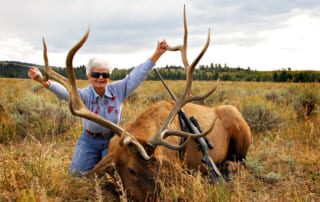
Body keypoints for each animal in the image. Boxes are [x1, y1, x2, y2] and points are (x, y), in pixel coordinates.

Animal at [40, 6, 251, 202]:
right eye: (131, 170)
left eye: (157, 166)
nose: (157, 196)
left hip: (240, 127)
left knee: (242, 160)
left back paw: (229, 167)